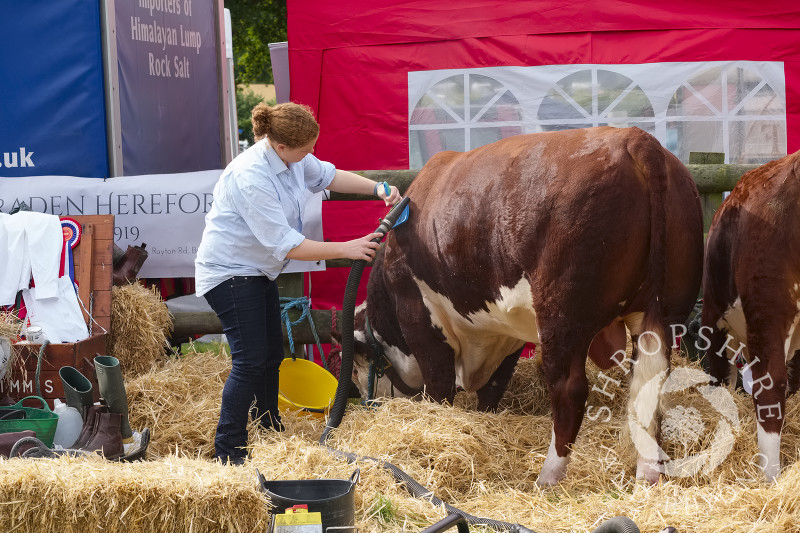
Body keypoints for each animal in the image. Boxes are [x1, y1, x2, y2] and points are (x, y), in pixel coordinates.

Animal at [354, 127, 704, 484]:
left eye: (355, 367)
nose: (371, 403)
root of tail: (635, 138)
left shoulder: (419, 316)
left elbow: (439, 386)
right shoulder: (505, 332)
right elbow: (493, 389)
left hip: (562, 317)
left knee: (570, 391)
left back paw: (548, 476)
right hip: (661, 316)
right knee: (650, 385)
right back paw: (647, 475)